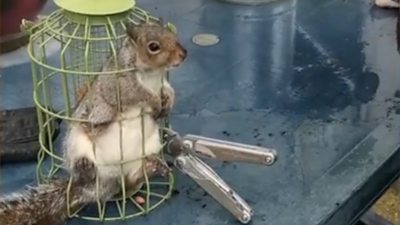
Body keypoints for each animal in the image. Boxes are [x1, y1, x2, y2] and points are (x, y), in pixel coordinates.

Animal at [0, 20, 188, 224]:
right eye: (153, 47)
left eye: (172, 33)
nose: (183, 54)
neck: (152, 76)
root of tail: (102, 184)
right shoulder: (120, 86)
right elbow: (139, 94)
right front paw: (155, 101)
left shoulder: (162, 84)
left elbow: (169, 90)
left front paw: (168, 102)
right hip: (77, 144)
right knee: (85, 175)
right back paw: (85, 167)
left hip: (149, 147)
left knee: (131, 180)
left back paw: (151, 167)